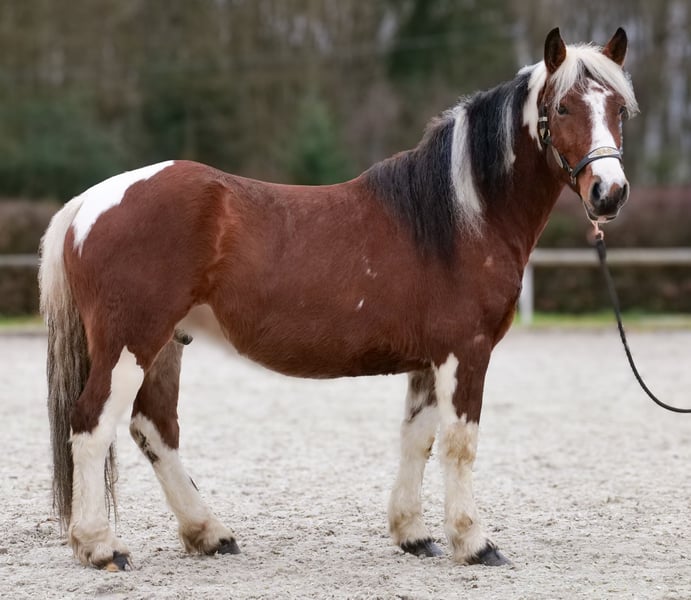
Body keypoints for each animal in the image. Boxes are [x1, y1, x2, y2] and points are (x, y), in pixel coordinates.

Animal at [39, 27, 638, 570]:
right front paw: (474, 543)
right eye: (562, 106)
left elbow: (417, 439)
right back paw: (101, 546)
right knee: (92, 426)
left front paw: (414, 535)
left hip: (165, 344)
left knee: (153, 429)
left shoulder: (429, 361)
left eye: (619, 110)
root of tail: (91, 202)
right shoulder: (465, 352)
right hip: (131, 343)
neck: (461, 216)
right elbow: (459, 443)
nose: (610, 193)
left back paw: (209, 534)